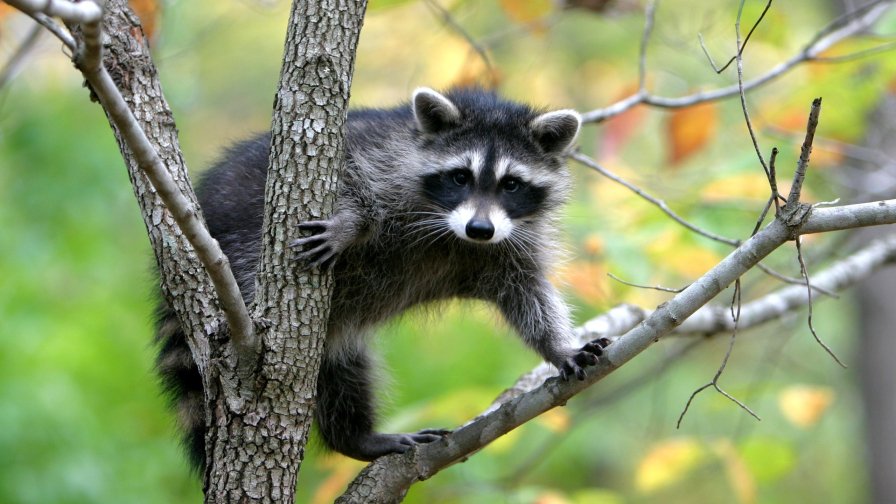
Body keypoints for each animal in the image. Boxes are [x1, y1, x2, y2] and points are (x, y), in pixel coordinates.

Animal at [158, 85, 608, 468]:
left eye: (511, 184)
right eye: (460, 176)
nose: (480, 229)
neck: (453, 233)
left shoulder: (511, 244)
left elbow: (528, 296)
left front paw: (559, 347)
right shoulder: (381, 157)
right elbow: (351, 179)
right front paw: (350, 223)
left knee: (342, 370)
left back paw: (354, 437)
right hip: (242, 245)